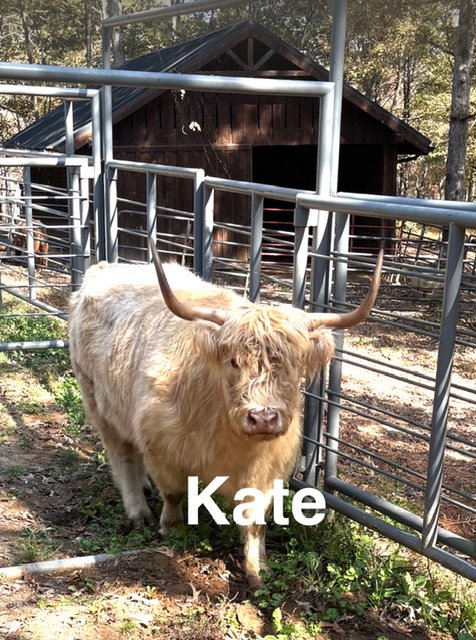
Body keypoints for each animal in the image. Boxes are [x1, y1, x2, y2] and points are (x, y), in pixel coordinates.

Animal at [68, 244, 382, 586]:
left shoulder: (268, 470)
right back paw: (138, 511)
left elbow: (256, 521)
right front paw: (170, 528)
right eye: (233, 361)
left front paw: (257, 569)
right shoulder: (161, 449)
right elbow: (174, 493)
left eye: (294, 362)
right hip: (99, 402)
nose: (263, 418)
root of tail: (104, 268)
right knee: (122, 456)